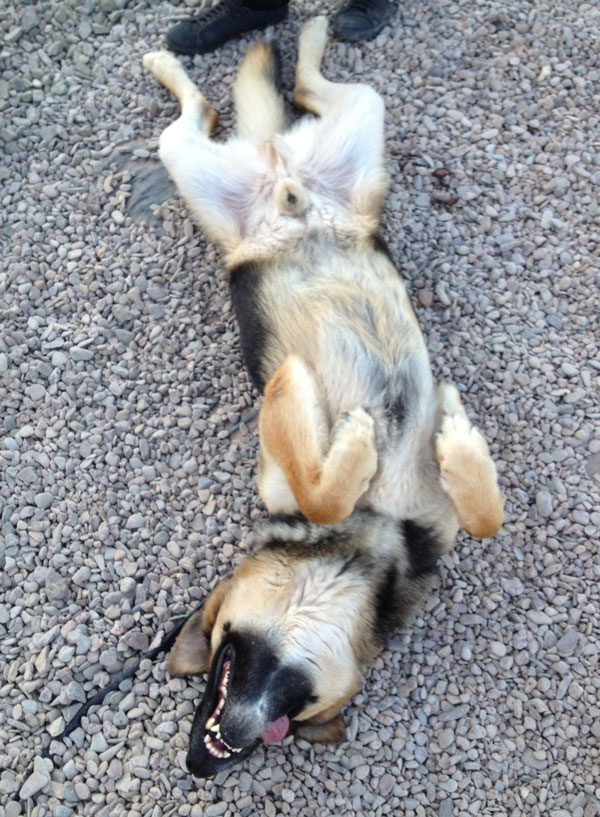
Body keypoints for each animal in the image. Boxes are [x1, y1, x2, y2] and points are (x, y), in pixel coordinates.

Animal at [143, 15, 504, 776]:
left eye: (290, 723)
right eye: (214, 665)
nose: (204, 759)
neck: (364, 544)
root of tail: (280, 170)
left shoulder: (436, 521)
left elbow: (485, 517)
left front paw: (456, 438)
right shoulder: (282, 482)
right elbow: (322, 490)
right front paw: (354, 433)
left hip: (358, 123)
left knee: (304, 86)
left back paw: (308, 33)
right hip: (191, 162)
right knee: (202, 111)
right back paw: (181, 61)